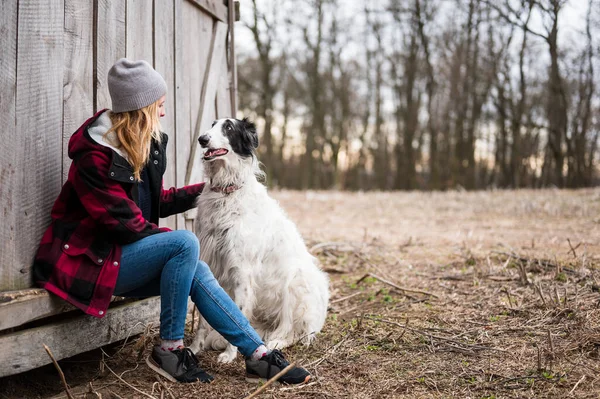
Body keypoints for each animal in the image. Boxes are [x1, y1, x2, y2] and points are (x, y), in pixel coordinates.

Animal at [189, 117, 330, 364]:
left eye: (228, 127)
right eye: (212, 124)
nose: (202, 139)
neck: (226, 191)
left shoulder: (242, 271)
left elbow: (238, 313)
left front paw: (230, 355)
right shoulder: (211, 266)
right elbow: (204, 321)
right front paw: (195, 348)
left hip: (296, 282)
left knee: (295, 332)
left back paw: (276, 342)